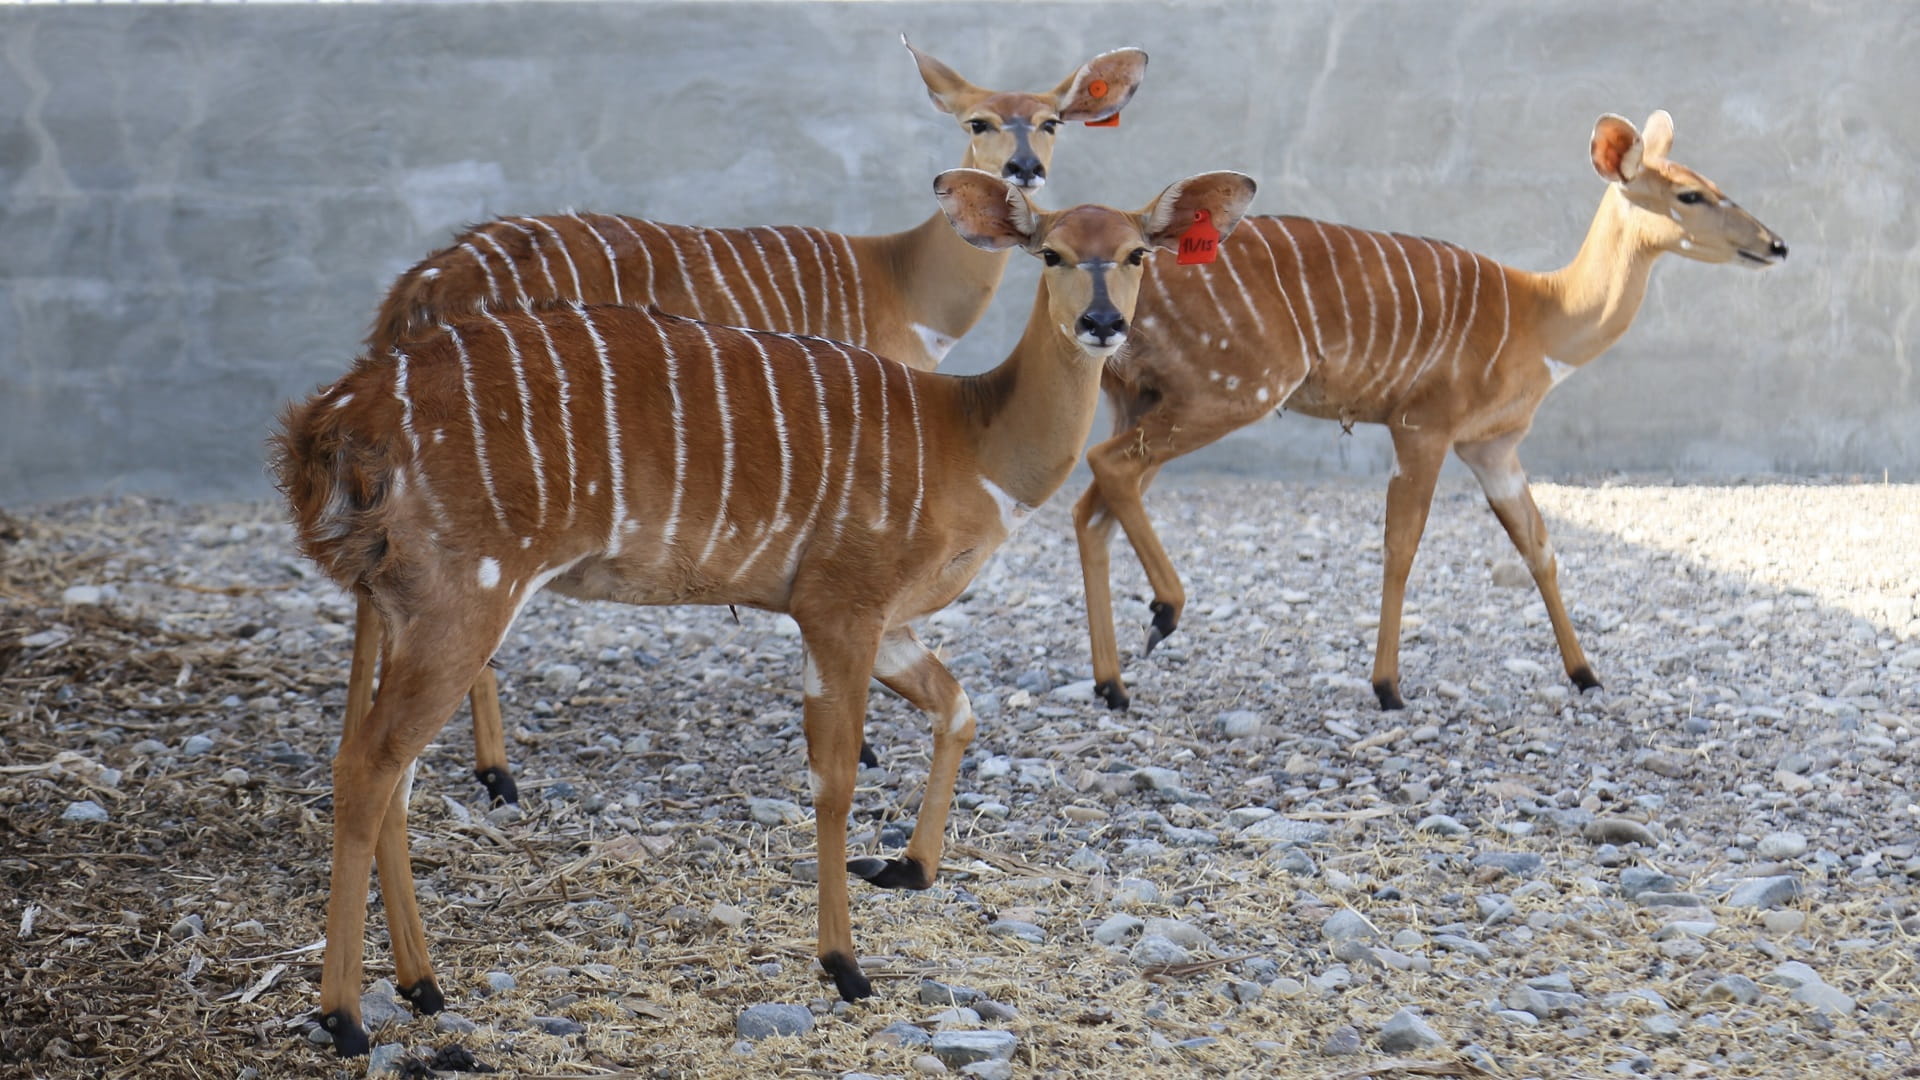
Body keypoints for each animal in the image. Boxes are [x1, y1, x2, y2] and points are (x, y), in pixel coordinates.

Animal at [274, 168, 1259, 1053]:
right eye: (1050, 252)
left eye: (1136, 252)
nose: (1103, 322)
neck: (969, 440)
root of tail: (334, 422)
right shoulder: (840, 606)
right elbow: (835, 779)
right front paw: (845, 966)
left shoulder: (886, 623)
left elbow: (959, 709)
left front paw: (908, 868)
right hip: (465, 600)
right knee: (368, 765)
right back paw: (348, 1018)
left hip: (408, 605)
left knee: (387, 768)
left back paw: (424, 988)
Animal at [351, 37, 1144, 803]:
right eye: (977, 121)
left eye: (1050, 120)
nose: (1023, 168)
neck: (896, 280)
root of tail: (413, 293)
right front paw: (861, 750)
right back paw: (496, 774)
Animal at [1082, 109, 1781, 711]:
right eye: (1690, 195)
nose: (1776, 245)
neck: (1543, 315)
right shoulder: (1423, 425)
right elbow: (1403, 546)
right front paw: (1388, 687)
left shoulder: (1493, 447)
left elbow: (1538, 546)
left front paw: (1586, 674)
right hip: (1231, 389)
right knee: (1106, 466)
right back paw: (1164, 614)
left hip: (1145, 396)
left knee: (1092, 506)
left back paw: (1113, 683)